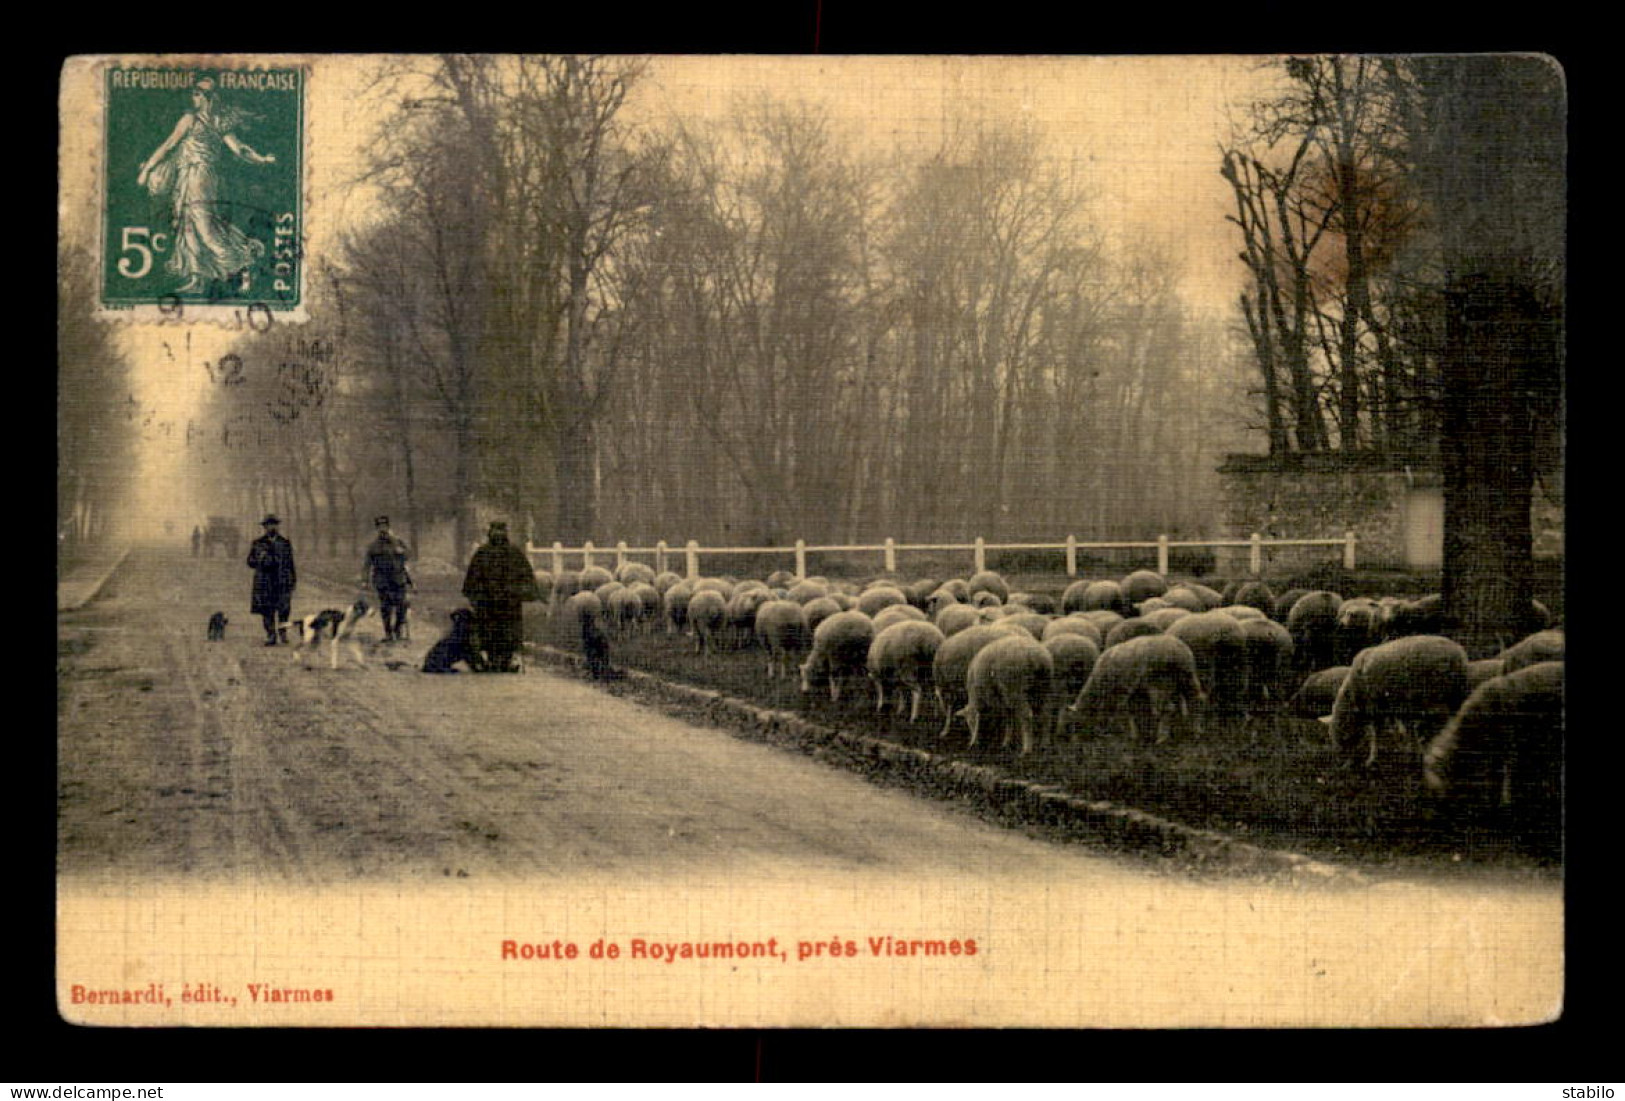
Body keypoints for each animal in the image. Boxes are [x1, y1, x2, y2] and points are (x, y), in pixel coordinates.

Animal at [1072, 633, 1202, 746]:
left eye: (1079, 720)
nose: (1078, 739)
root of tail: (1177, 651)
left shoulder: (1123, 690)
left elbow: (1125, 711)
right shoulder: (1135, 691)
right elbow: (1135, 712)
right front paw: (1138, 734)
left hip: (1159, 683)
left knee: (1168, 709)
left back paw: (1162, 738)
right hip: (1187, 677)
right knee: (1195, 701)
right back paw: (1196, 732)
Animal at [1332, 639, 1475, 766]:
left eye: (1343, 736)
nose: (1342, 764)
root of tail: (1460, 653)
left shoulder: (1377, 707)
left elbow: (1376, 734)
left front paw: (1372, 758)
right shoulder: (1396, 707)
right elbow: (1405, 729)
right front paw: (1409, 749)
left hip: (1446, 695)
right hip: (1454, 695)